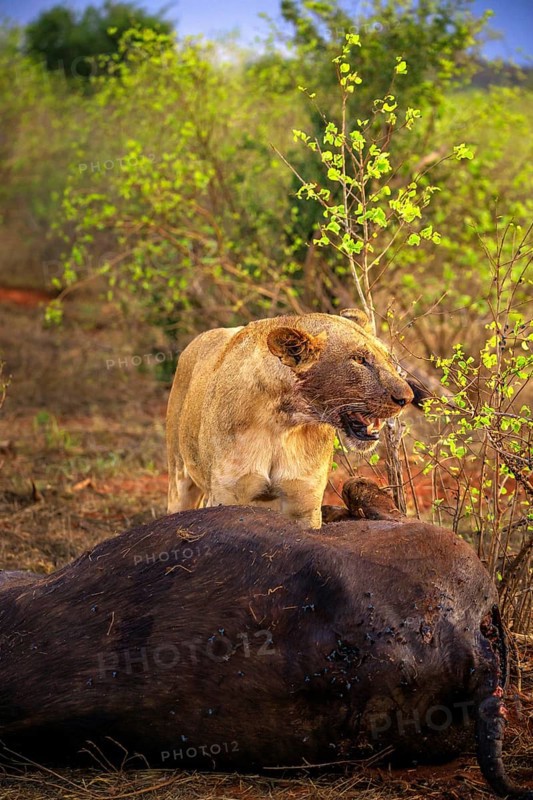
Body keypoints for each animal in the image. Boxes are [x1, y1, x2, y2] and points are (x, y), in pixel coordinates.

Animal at [166, 309, 421, 528]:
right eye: (359, 359)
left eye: (388, 358)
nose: (407, 397)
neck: (282, 423)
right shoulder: (227, 495)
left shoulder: (304, 503)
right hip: (179, 480)